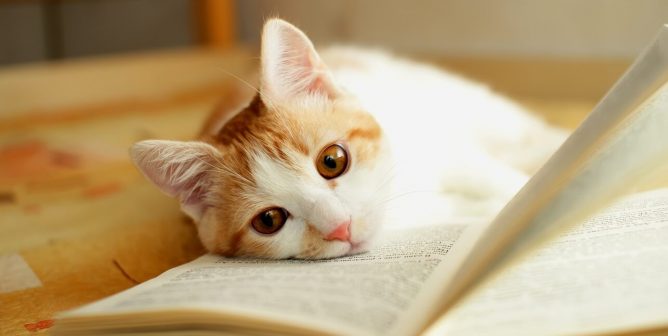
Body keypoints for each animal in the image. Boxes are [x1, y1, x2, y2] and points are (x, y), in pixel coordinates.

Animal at [130, 17, 564, 260]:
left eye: (332, 161)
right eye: (268, 221)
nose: (339, 227)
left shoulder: (440, 147)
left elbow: (488, 173)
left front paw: (529, 195)